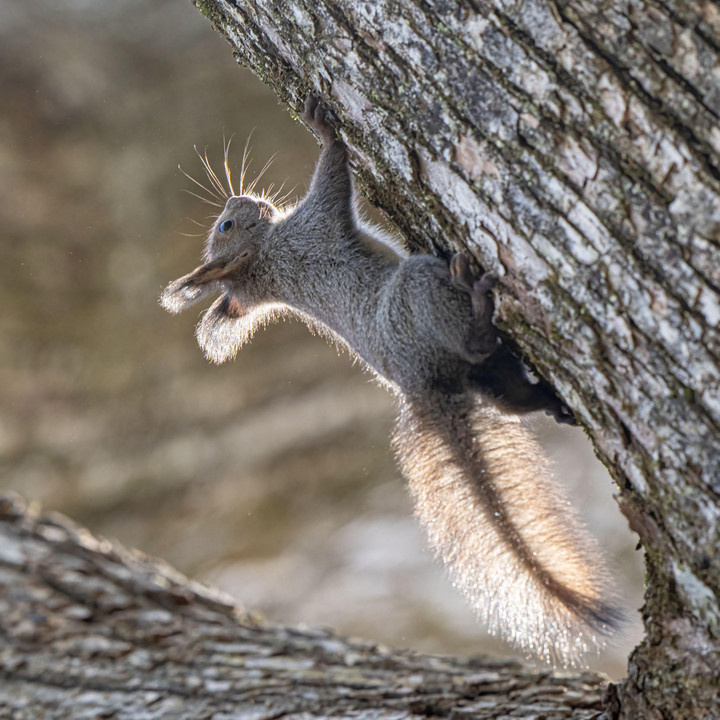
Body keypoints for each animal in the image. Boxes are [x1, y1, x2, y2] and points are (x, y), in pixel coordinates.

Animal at [162, 94, 624, 664]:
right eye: (225, 227)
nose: (235, 197)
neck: (268, 263)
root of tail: (422, 383)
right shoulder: (314, 227)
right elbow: (333, 174)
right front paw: (323, 129)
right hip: (421, 291)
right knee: (478, 346)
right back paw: (477, 298)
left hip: (478, 370)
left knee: (505, 394)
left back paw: (547, 401)